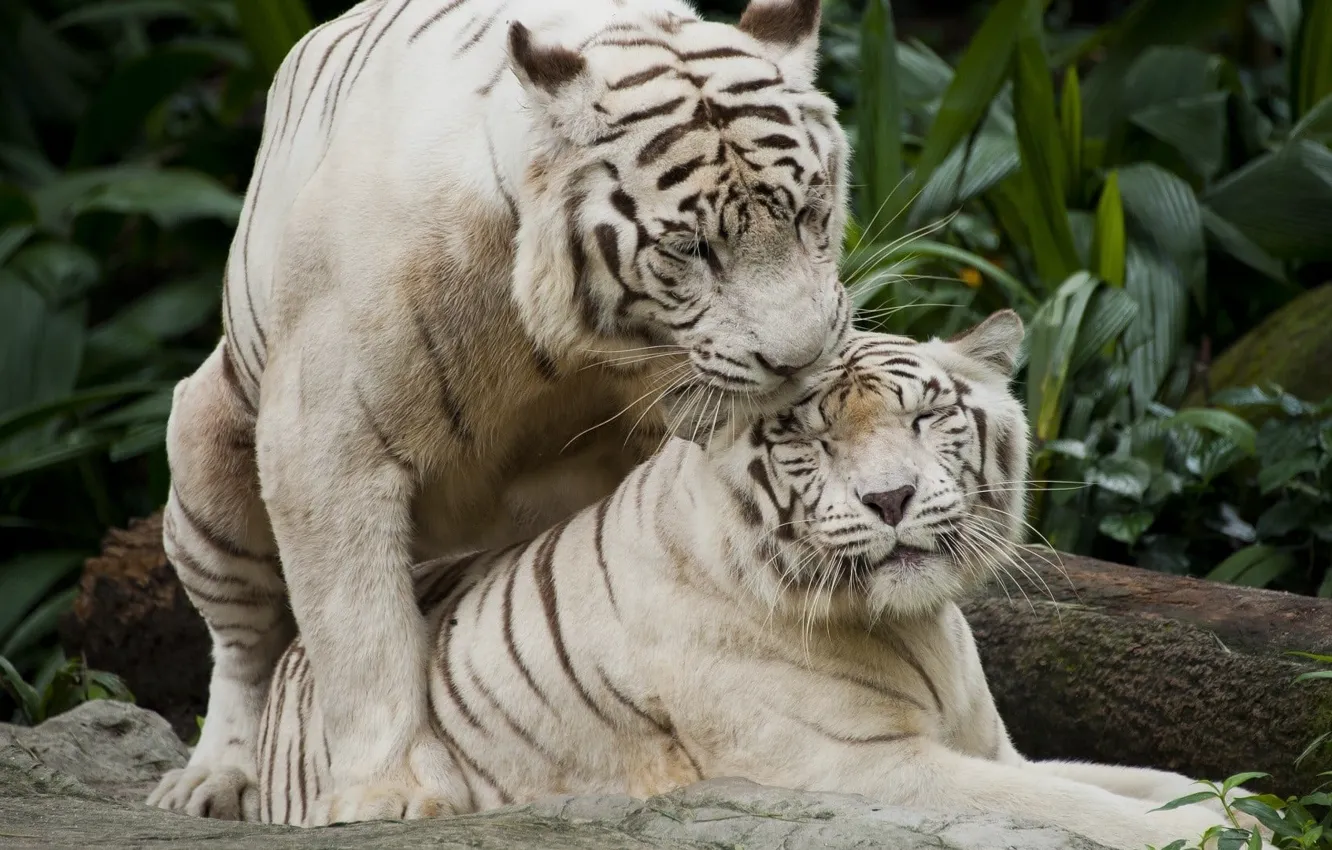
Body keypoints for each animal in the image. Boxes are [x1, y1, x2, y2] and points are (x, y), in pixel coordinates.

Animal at [147, 0, 854, 823]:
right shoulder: (322, 438)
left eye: (810, 214)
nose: (799, 358)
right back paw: (216, 780)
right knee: (242, 644)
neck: (568, 344)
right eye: (689, 248)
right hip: (208, 447)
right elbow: (358, 627)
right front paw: (391, 793)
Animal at [252, 311, 1262, 849]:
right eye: (809, 441)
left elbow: (1135, 775)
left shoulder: (990, 746)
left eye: (925, 416)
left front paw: (1243, 802)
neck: (915, 624)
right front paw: (1205, 833)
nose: (890, 498)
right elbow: (1068, 803)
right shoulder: (860, 768)